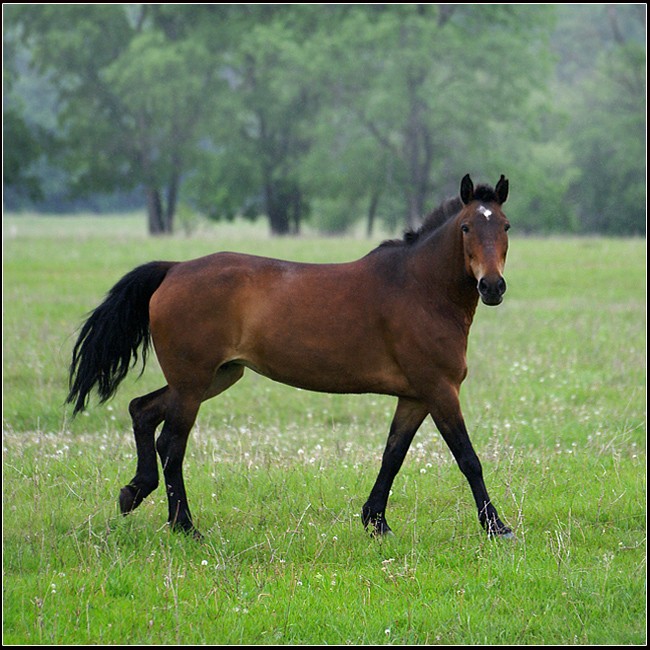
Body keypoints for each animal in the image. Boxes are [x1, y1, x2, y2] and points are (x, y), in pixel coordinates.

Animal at [66, 172, 512, 536]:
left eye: (505, 226)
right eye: (467, 227)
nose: (492, 286)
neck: (419, 287)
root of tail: (174, 270)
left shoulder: (415, 396)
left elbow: (393, 455)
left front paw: (375, 521)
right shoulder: (439, 390)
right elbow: (468, 458)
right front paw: (497, 527)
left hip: (216, 376)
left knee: (142, 411)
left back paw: (134, 492)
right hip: (192, 383)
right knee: (171, 445)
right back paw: (186, 527)